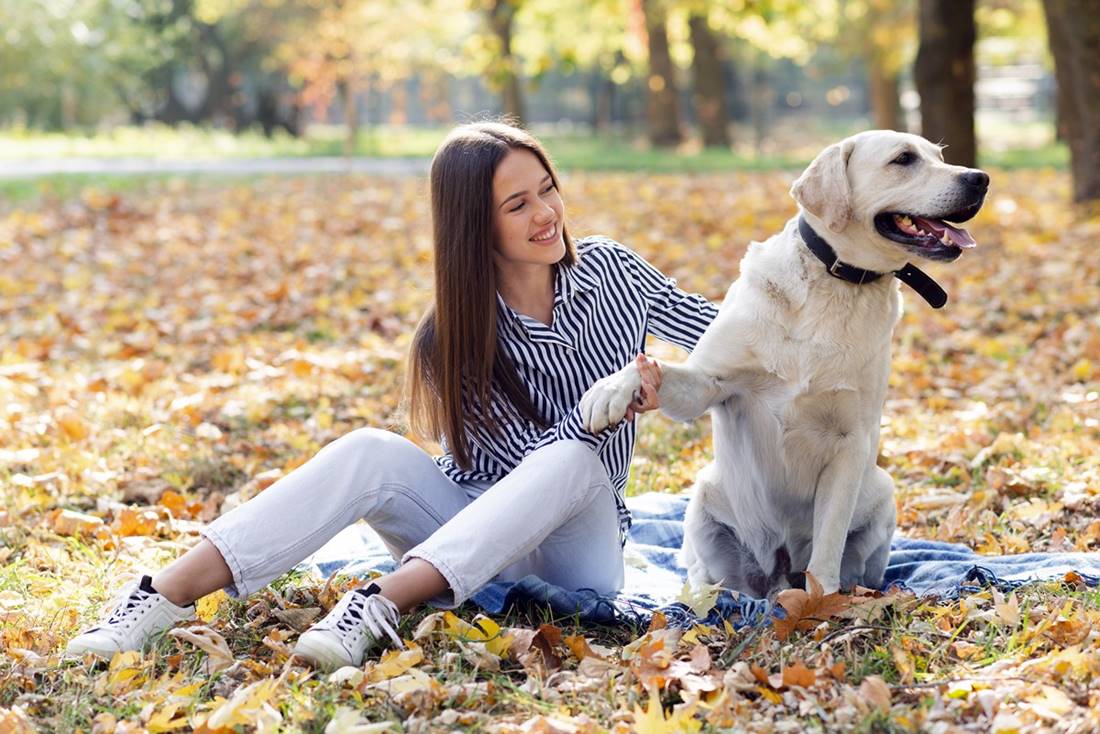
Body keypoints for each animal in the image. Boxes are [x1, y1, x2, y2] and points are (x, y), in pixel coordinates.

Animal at [585, 132, 990, 598]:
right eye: (904, 159)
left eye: (939, 156)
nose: (980, 178)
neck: (835, 281)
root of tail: (777, 573)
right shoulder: (709, 384)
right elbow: (652, 371)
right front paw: (607, 393)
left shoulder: (851, 440)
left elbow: (828, 541)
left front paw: (823, 602)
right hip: (705, 497)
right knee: (710, 576)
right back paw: (707, 596)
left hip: (881, 491)